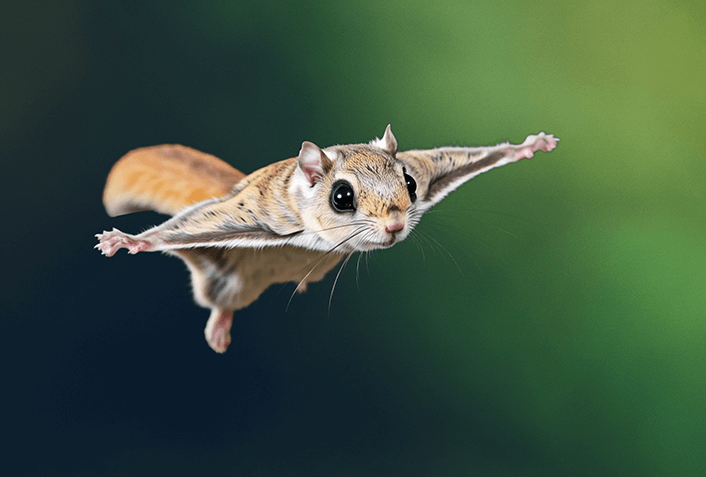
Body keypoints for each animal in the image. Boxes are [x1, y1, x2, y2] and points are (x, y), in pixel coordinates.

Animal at [95, 124, 556, 352]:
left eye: (409, 183)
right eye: (342, 197)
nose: (395, 226)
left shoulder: (431, 170)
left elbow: (472, 155)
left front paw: (526, 146)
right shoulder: (263, 217)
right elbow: (186, 226)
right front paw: (128, 240)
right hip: (226, 270)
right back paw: (218, 329)